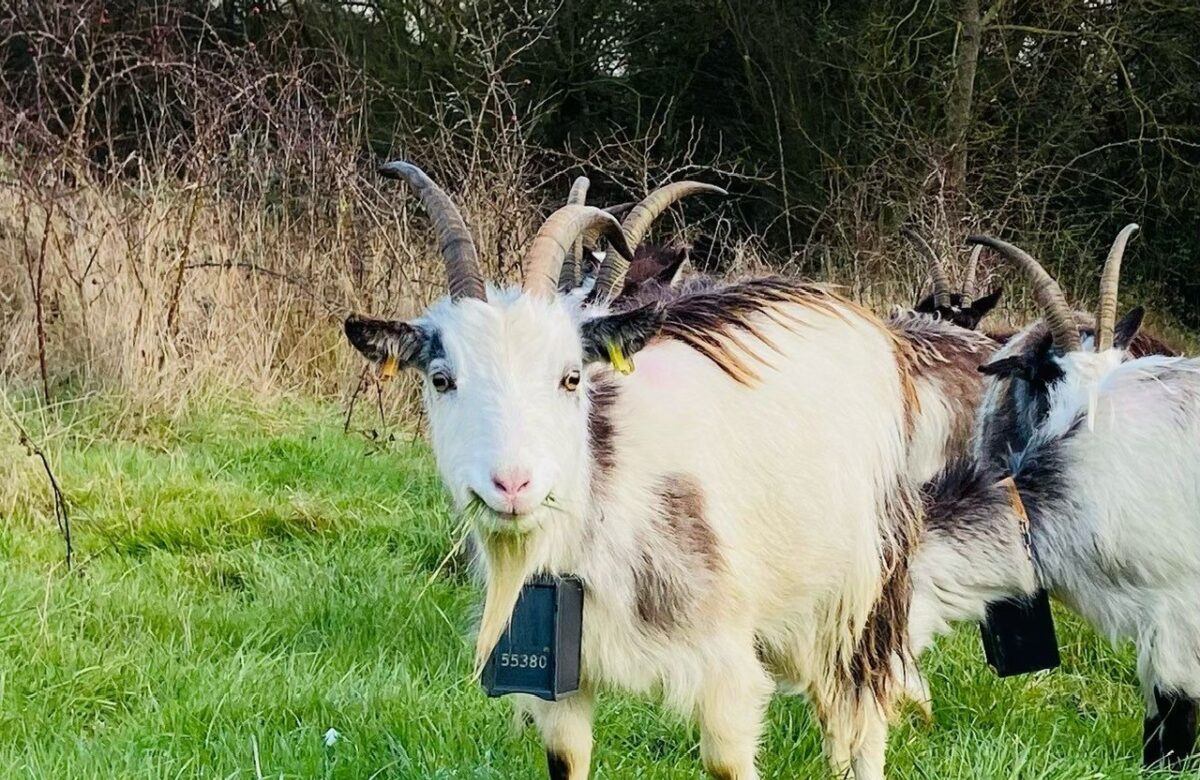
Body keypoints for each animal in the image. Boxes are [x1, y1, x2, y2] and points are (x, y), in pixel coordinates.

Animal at [345, 161, 923, 780]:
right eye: (441, 378)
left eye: (571, 377)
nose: (513, 485)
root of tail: (848, 311)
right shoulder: (564, 686)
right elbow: (568, 757)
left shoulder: (726, 671)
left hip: (864, 591)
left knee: (863, 717)